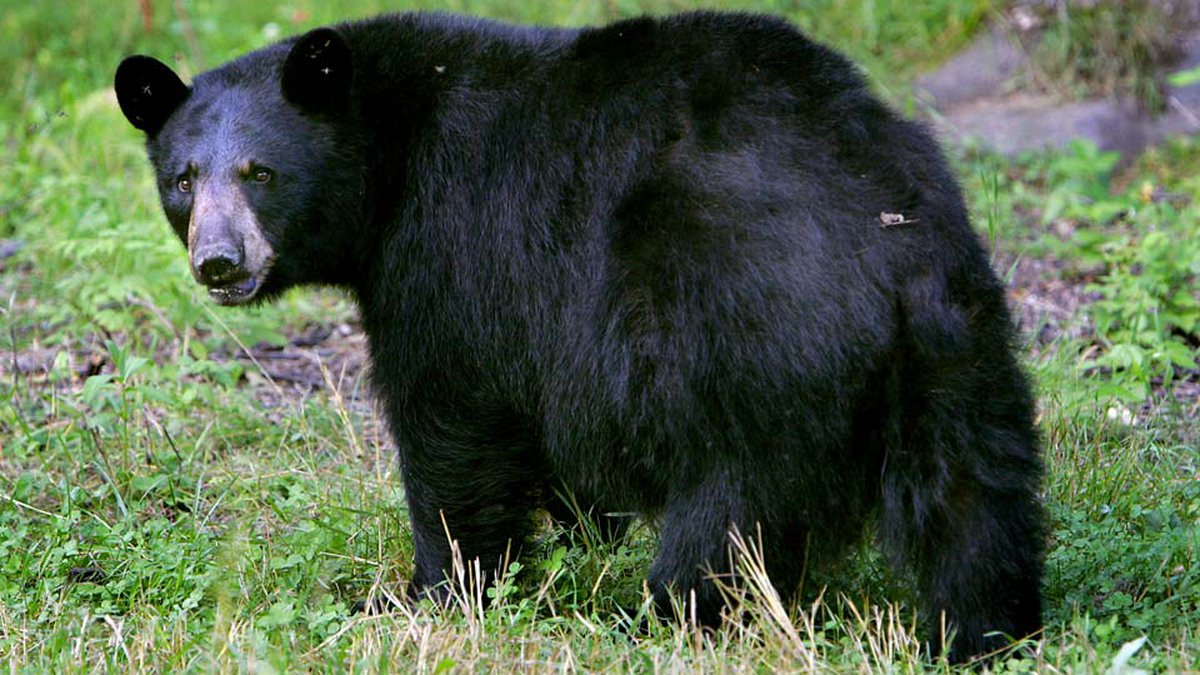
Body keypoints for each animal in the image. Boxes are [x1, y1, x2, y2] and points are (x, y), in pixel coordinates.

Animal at [117, 10, 1046, 658]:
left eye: (261, 172)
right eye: (183, 179)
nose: (220, 261)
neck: (387, 157)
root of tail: (878, 236)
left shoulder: (451, 248)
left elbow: (450, 424)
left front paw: (429, 593)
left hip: (747, 337)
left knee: (732, 510)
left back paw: (666, 615)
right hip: (956, 341)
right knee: (974, 495)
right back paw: (985, 630)